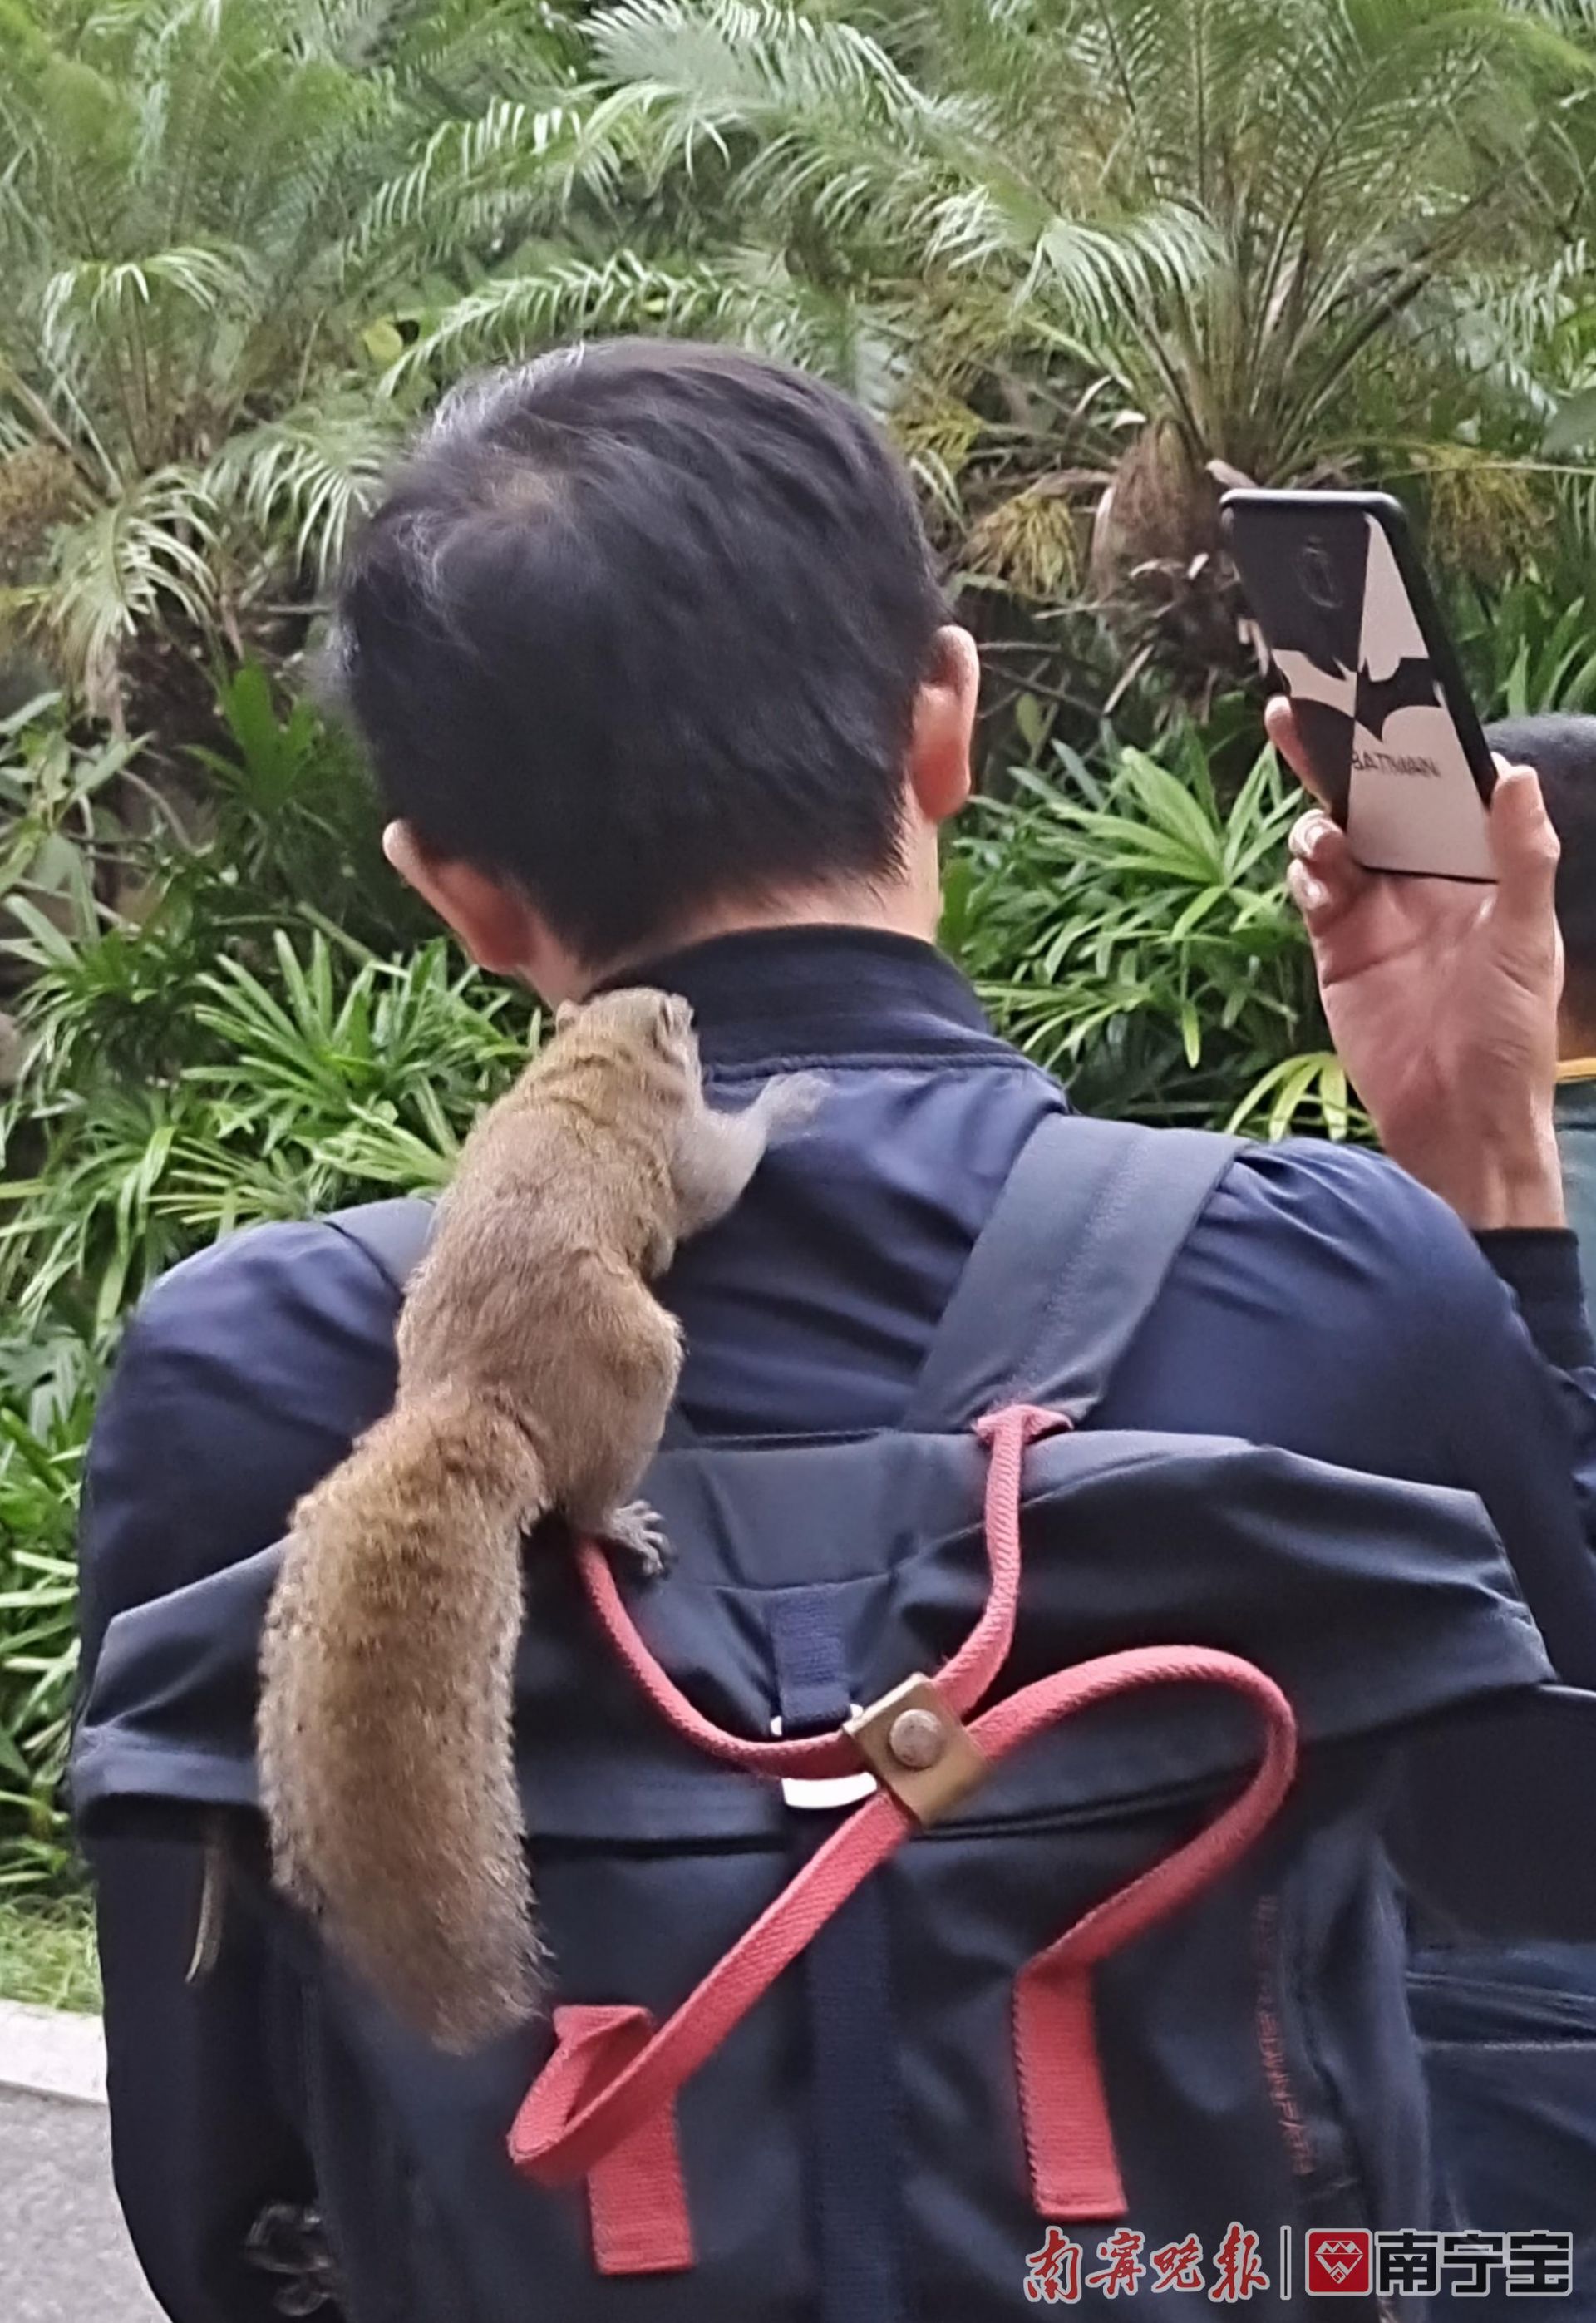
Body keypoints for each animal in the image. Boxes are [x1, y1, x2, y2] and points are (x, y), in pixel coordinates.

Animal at [259, 989, 822, 2044]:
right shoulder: (682, 1143)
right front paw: (792, 1100)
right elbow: (724, 1170)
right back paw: (619, 1525)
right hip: (642, 1359)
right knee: (590, 1492)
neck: (588, 1061)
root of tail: (474, 1397)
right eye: (680, 1019)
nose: (689, 1005)